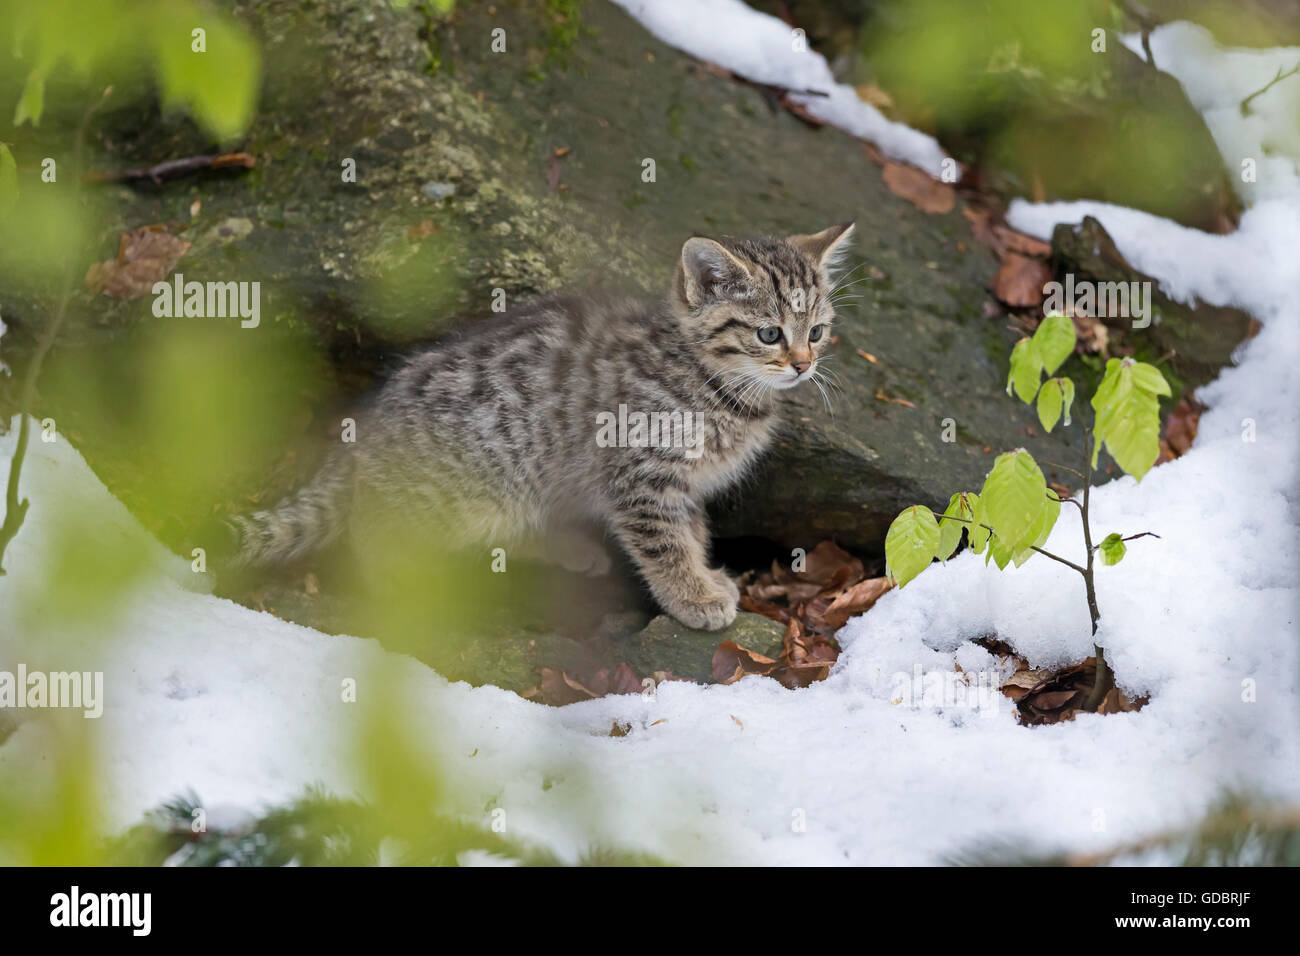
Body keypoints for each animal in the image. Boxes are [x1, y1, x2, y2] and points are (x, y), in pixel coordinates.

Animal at [226, 221, 852, 632]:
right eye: (769, 334)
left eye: (817, 331)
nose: (803, 365)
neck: (714, 383)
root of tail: (364, 437)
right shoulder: (637, 473)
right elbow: (663, 542)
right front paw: (692, 596)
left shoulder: (685, 484)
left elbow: (691, 532)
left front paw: (705, 576)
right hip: (474, 488)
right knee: (374, 533)